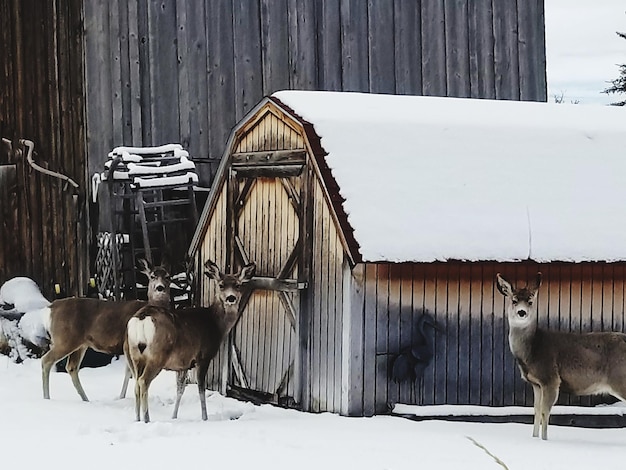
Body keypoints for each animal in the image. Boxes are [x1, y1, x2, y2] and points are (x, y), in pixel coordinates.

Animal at [40, 258, 171, 402]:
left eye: (168, 276)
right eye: (152, 276)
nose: (160, 288)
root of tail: (52, 307)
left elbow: (128, 372)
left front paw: (121, 397)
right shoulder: (127, 344)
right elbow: (133, 373)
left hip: (80, 344)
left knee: (71, 367)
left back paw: (86, 399)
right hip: (65, 339)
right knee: (46, 360)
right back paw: (46, 398)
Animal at [124, 258, 254, 424]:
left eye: (238, 285)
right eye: (221, 285)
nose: (231, 298)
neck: (216, 324)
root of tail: (141, 318)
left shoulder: (183, 362)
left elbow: (180, 389)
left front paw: (174, 416)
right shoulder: (203, 357)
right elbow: (201, 389)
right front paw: (205, 418)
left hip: (133, 354)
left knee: (136, 383)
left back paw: (137, 419)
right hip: (157, 355)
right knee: (143, 381)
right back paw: (147, 419)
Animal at [498, 272, 626, 440]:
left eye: (530, 301)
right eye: (514, 300)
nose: (521, 312)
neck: (532, 349)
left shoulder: (551, 378)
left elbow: (545, 413)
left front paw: (544, 440)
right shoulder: (536, 384)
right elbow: (536, 411)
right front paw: (534, 438)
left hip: (620, 379)